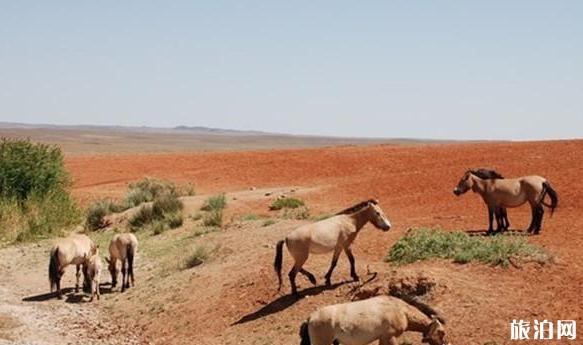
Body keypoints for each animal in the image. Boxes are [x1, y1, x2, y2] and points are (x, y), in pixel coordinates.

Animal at [298, 292, 450, 344]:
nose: (445, 343)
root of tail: (310, 318)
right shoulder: (389, 337)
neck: (401, 311)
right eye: (442, 332)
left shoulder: (383, 338)